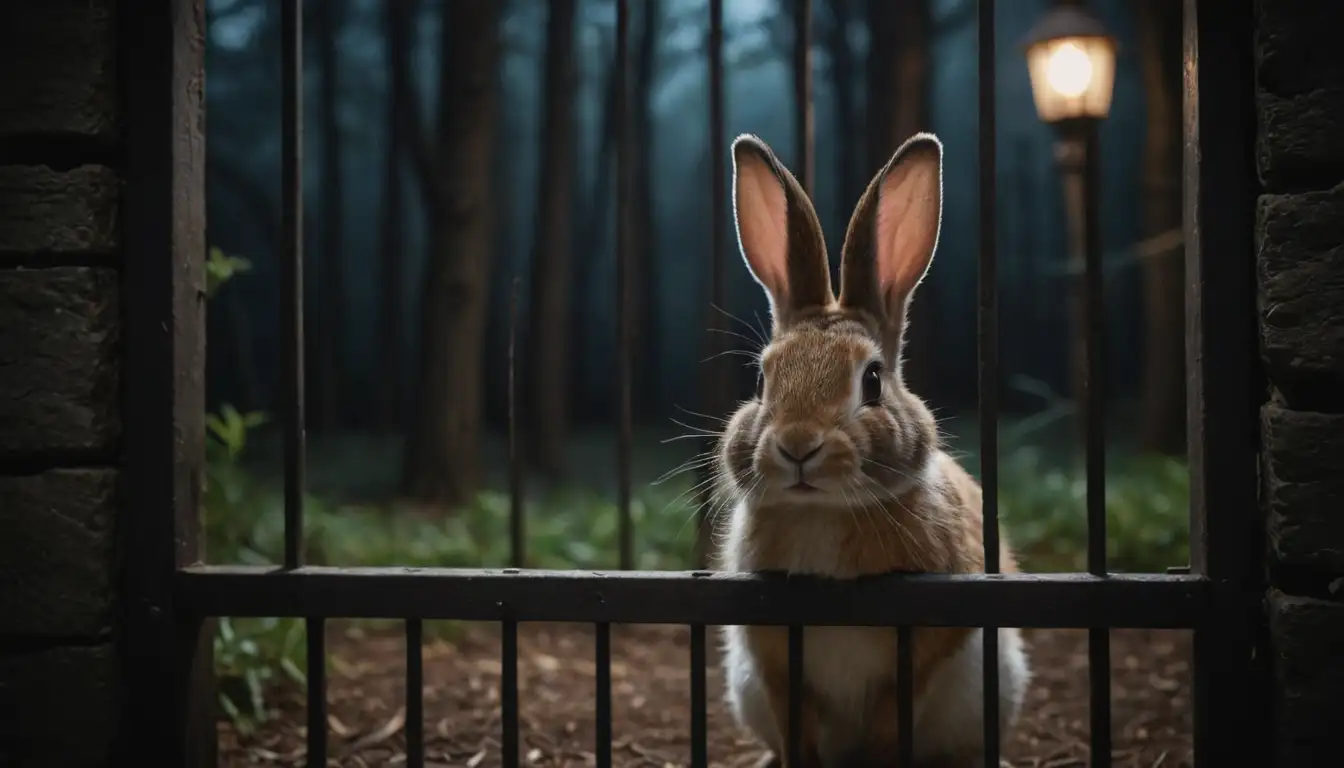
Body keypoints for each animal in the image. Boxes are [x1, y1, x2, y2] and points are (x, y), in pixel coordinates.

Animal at [713, 131, 1032, 768]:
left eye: (873, 381)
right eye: (761, 381)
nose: (798, 446)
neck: (822, 512)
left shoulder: (928, 643)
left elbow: (892, 719)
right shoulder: (771, 655)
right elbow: (797, 726)